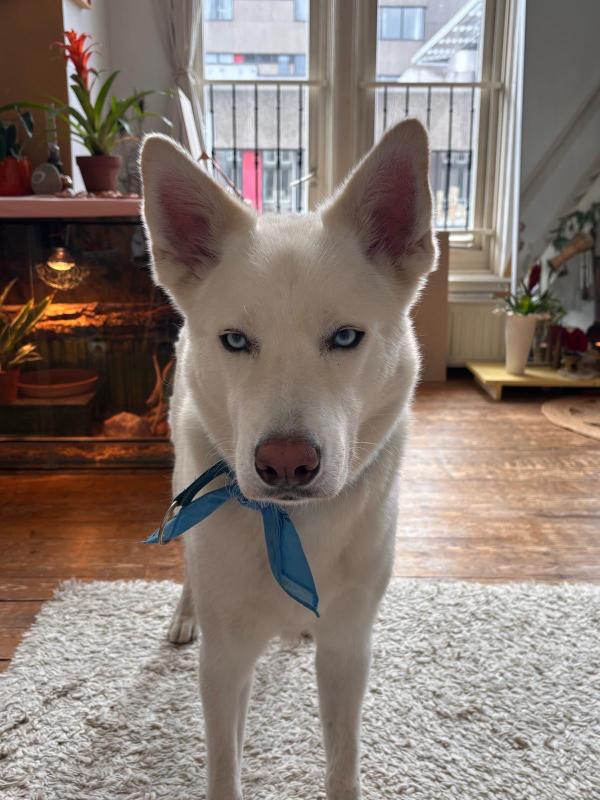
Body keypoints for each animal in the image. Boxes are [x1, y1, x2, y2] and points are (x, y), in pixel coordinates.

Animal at [140, 118, 437, 800]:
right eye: (235, 340)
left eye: (346, 337)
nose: (285, 465)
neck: (293, 526)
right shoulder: (224, 663)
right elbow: (224, 765)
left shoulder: (349, 650)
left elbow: (342, 760)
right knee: (190, 570)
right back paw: (184, 615)